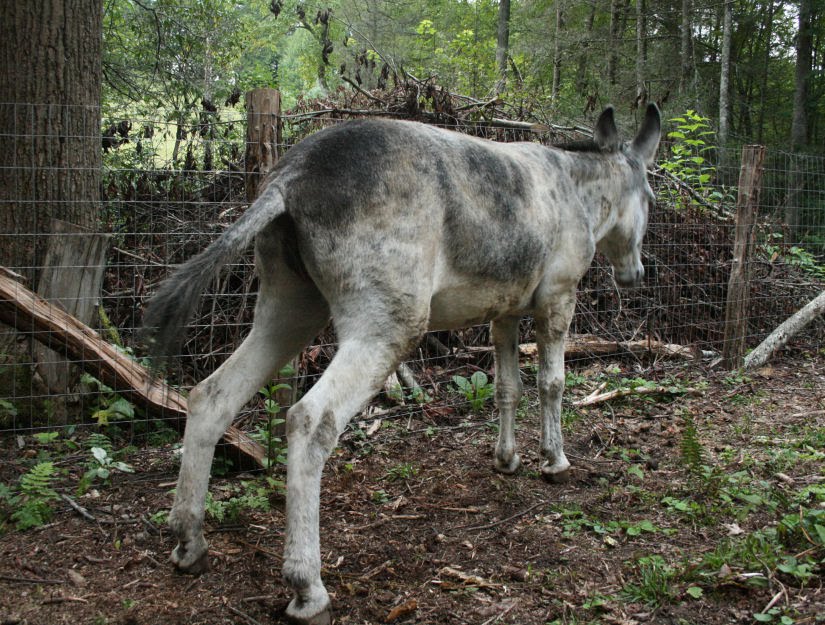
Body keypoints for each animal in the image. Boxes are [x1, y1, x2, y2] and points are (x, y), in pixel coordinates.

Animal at [143, 103, 661, 624]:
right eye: (650, 198)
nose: (635, 274)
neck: (579, 190)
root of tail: (291, 177)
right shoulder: (558, 297)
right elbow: (551, 383)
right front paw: (554, 461)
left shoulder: (506, 311)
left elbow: (506, 388)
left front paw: (507, 459)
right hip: (388, 325)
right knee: (309, 420)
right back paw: (307, 587)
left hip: (290, 308)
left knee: (210, 396)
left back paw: (189, 542)